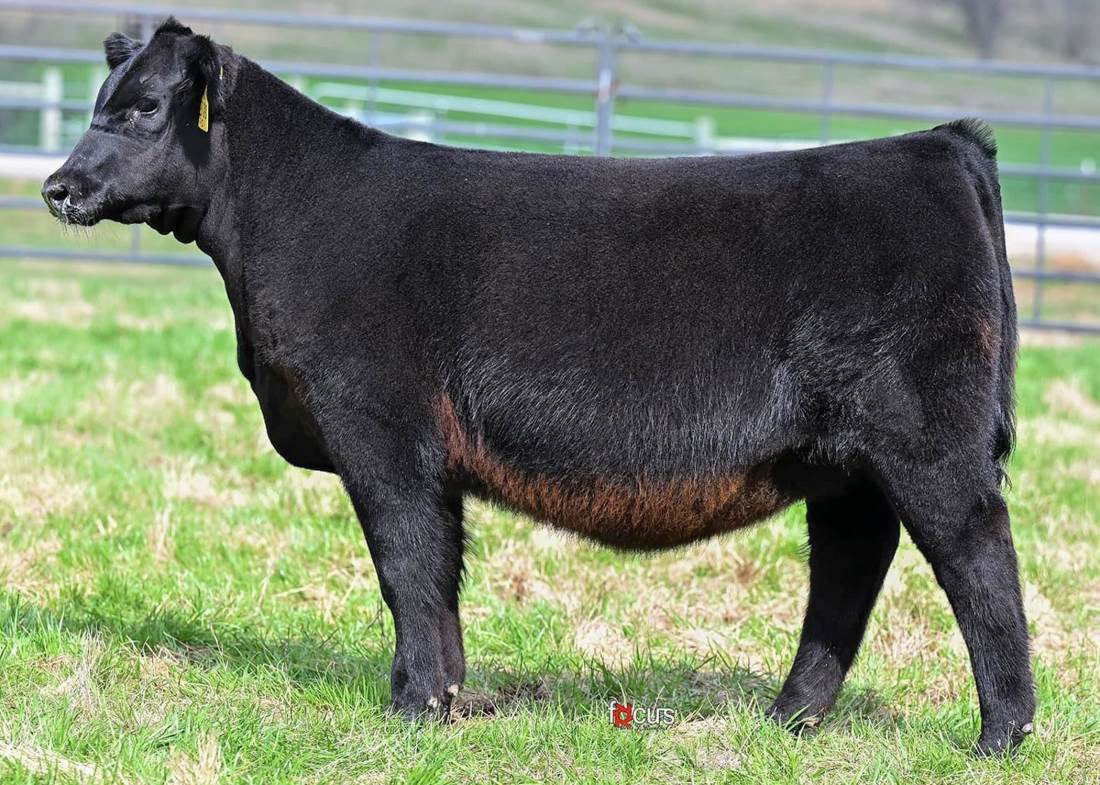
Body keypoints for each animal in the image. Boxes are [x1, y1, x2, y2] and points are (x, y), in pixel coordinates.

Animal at [42, 18, 1034, 755]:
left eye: (144, 108)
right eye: (99, 102)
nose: (56, 186)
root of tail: (939, 146)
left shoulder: (379, 426)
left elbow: (407, 567)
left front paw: (411, 709)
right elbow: (438, 573)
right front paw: (445, 699)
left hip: (926, 438)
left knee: (977, 554)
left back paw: (1001, 735)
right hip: (845, 459)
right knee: (851, 565)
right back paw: (789, 719)